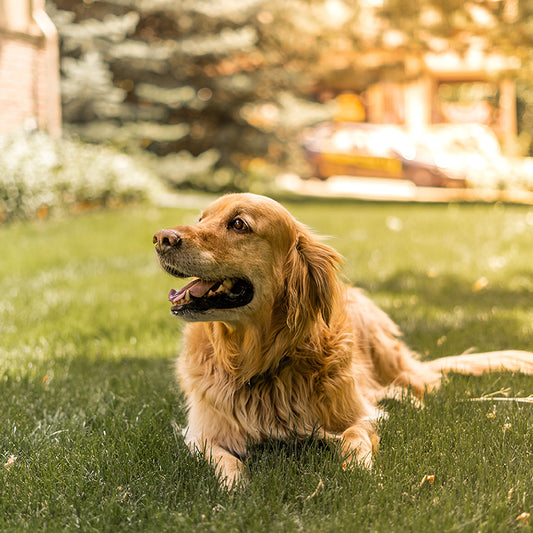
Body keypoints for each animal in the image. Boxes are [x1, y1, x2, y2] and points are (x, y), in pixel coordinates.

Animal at [153, 192, 532, 486]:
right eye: (201, 218)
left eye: (238, 224)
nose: (161, 238)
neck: (259, 362)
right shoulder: (201, 434)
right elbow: (225, 460)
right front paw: (237, 488)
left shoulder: (352, 416)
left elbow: (356, 436)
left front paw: (361, 472)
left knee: (416, 383)